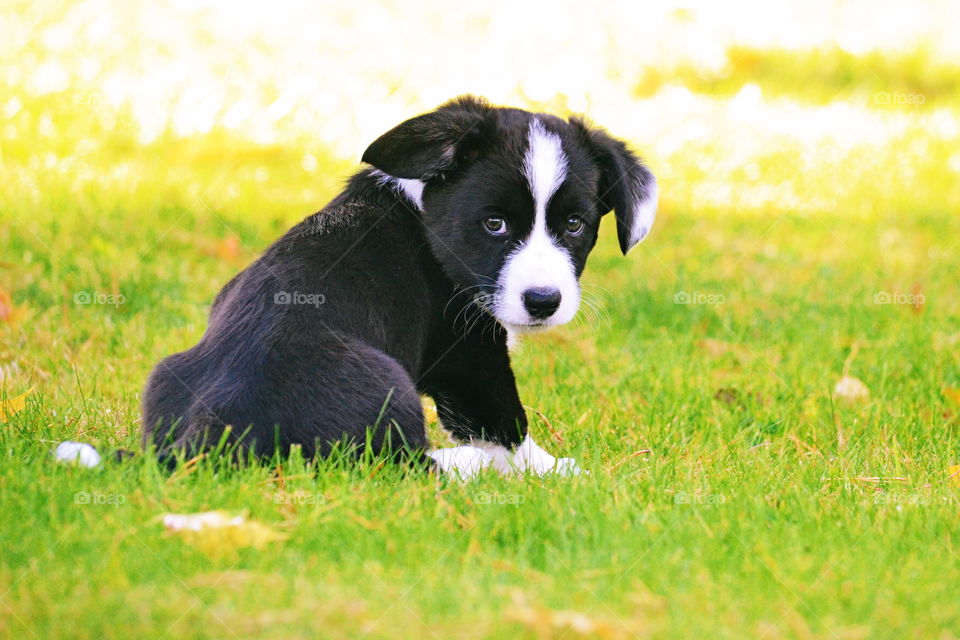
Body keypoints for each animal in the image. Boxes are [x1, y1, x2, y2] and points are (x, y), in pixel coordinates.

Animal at [139, 95, 656, 476]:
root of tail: (207, 432)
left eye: (574, 225)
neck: (425, 211)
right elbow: (503, 421)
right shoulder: (467, 351)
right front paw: (557, 471)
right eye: (494, 224)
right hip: (387, 385)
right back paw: (465, 464)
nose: (544, 301)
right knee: (403, 466)